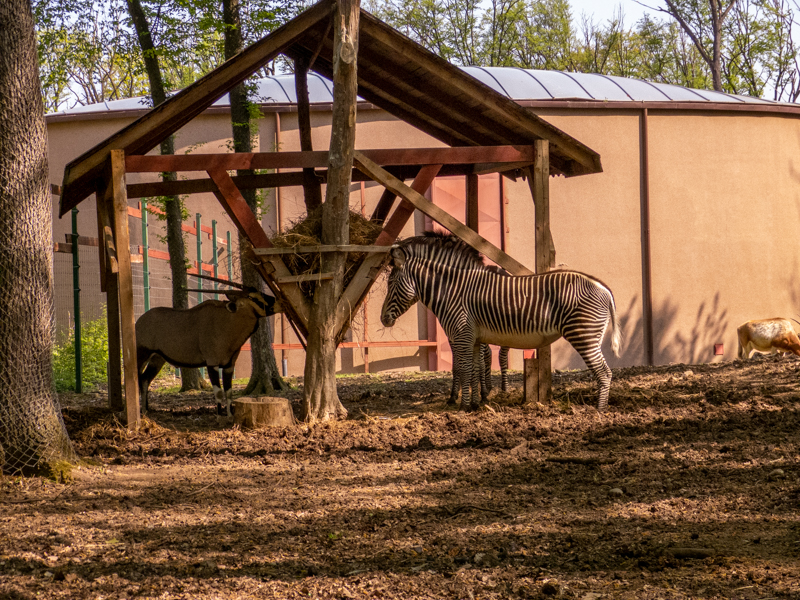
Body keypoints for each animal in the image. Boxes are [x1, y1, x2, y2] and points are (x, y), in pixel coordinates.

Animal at [380, 234, 621, 412]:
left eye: (391, 283)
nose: (383, 319)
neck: (452, 290)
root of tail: (603, 287)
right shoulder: (473, 338)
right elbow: (474, 369)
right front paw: (476, 403)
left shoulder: (461, 334)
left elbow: (464, 369)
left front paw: (463, 406)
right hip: (590, 335)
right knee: (605, 372)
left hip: (583, 334)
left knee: (604, 373)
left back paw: (599, 411)